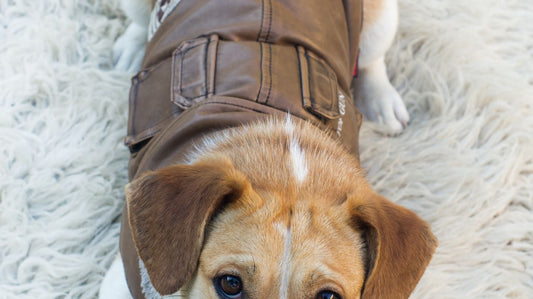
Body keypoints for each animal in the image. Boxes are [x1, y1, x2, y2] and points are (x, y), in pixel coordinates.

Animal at [100, 0, 436, 298]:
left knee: (369, 61)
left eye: (328, 297)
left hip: (381, 19)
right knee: (139, 22)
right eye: (230, 283)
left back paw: (381, 101)